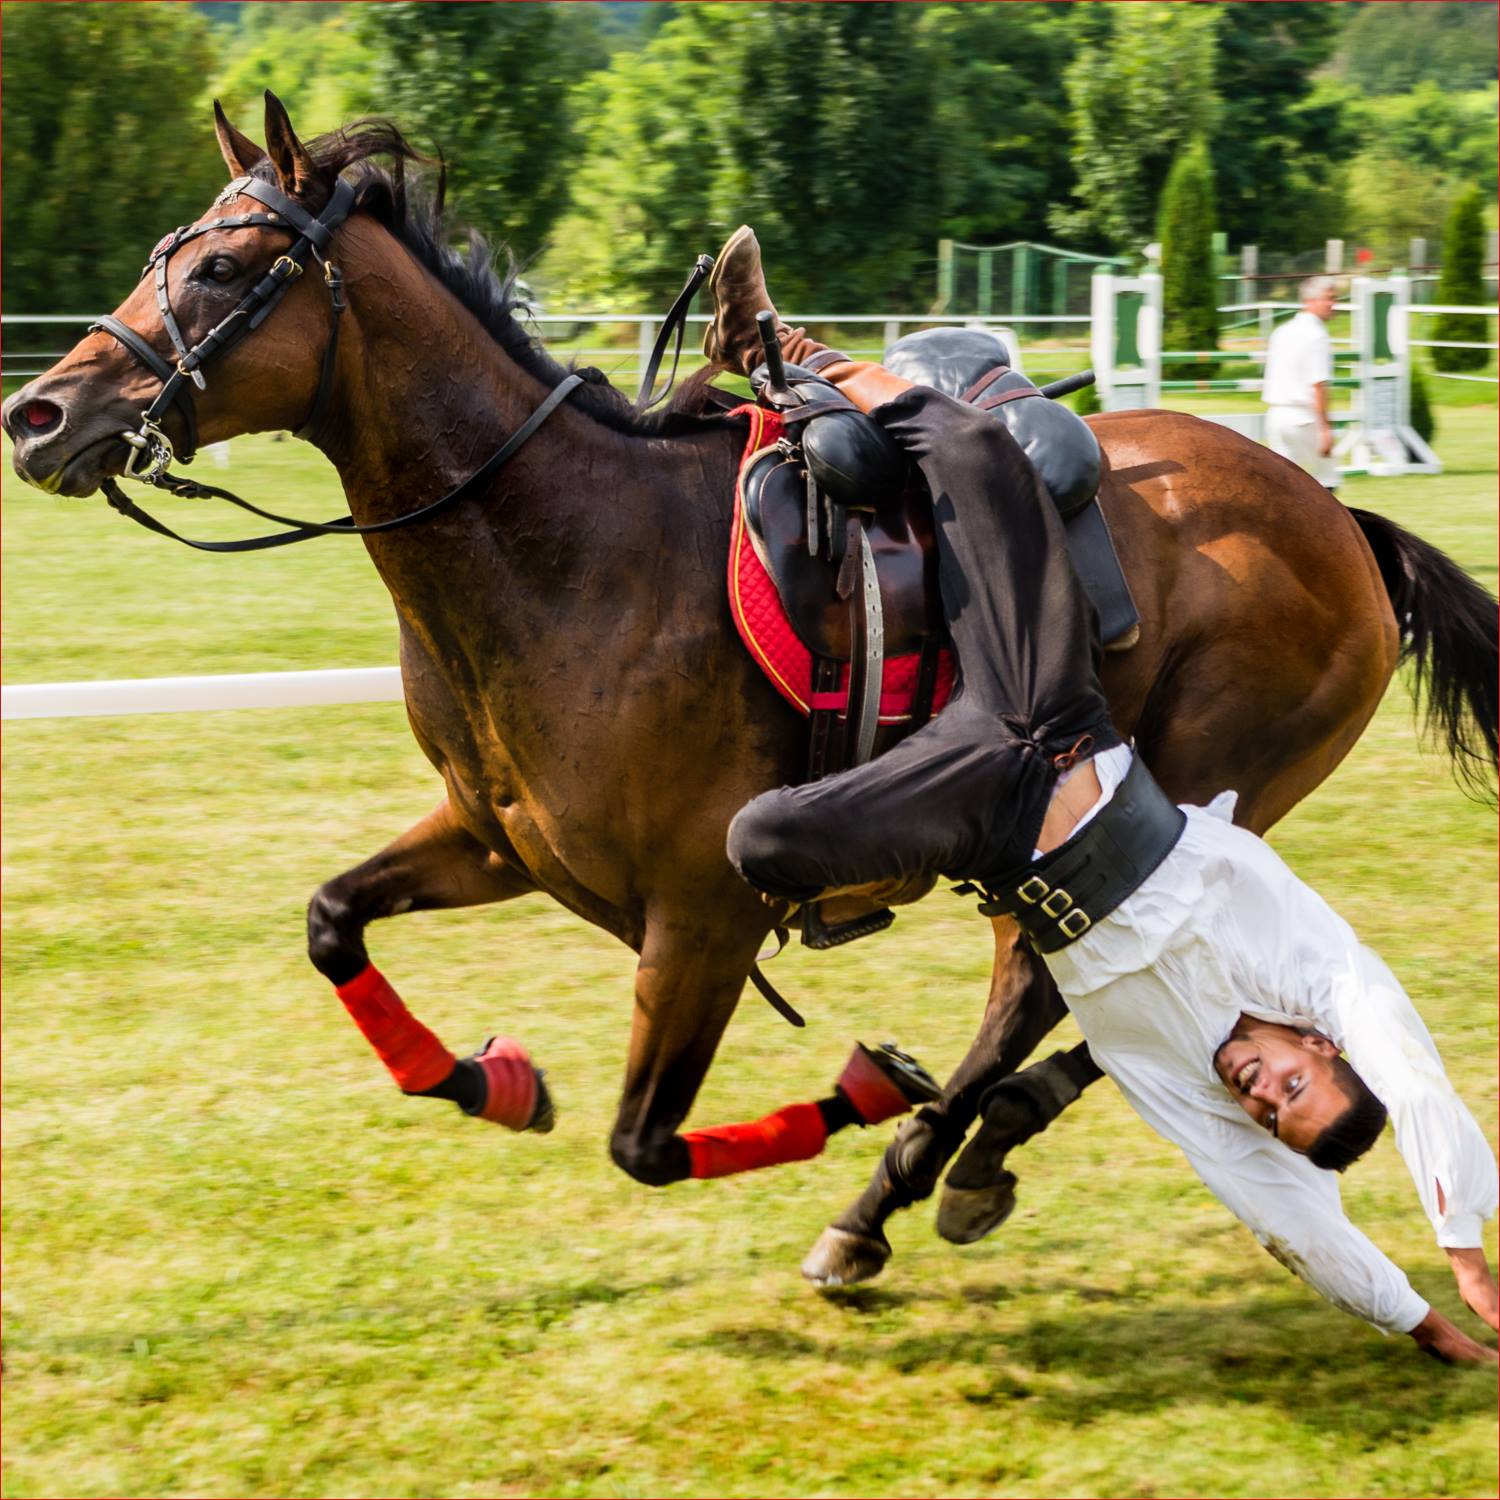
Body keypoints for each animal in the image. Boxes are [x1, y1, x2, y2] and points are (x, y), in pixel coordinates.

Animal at [5, 99, 1494, 1266]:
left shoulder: (703, 917)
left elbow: (647, 1142)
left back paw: (903, 1186)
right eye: (164, 256)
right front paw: (489, 1080)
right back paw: (976, 1155)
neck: (560, 548)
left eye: (223, 268)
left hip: (1151, 799)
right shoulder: (500, 843)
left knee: (1034, 998)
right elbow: (333, 923)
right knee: (1052, 1001)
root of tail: (1339, 519)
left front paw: (867, 1093)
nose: (39, 413)